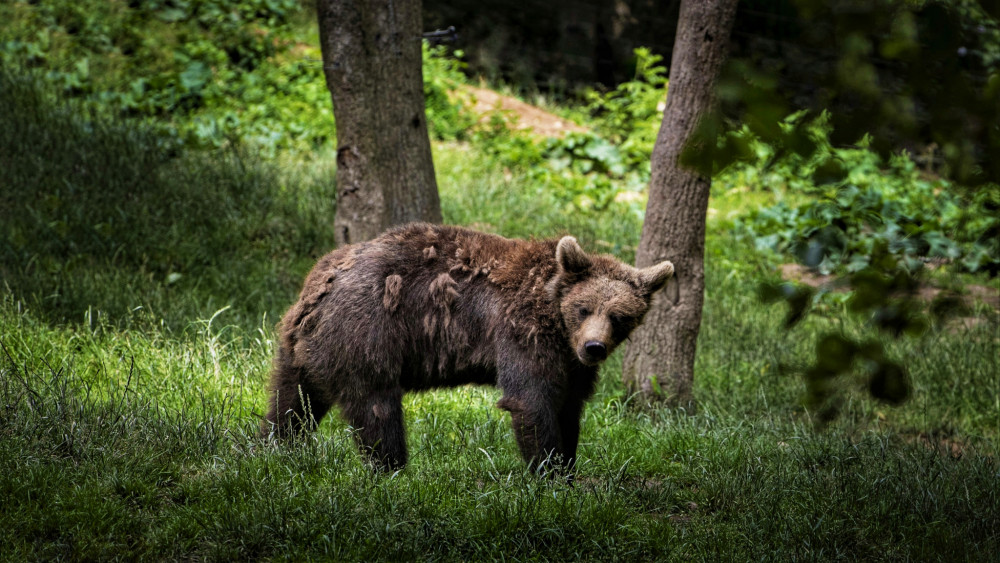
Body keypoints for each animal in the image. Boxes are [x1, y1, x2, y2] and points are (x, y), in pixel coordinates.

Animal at [262, 223, 676, 474]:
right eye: (584, 308)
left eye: (619, 316)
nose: (594, 347)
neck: (556, 322)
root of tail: (321, 283)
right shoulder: (520, 333)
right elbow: (532, 400)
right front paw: (548, 474)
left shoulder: (571, 366)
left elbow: (568, 408)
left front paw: (568, 469)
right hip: (367, 334)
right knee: (377, 411)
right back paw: (393, 472)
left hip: (302, 349)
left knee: (292, 403)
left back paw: (274, 449)